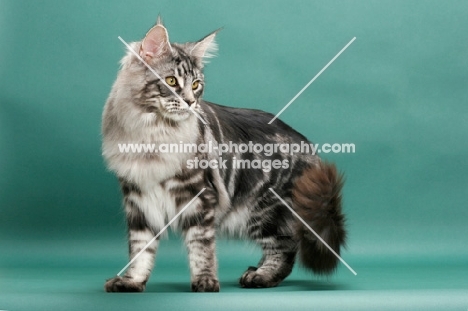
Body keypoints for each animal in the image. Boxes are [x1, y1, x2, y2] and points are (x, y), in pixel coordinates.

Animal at [102, 18, 346, 294]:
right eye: (171, 82)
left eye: (196, 85)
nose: (190, 102)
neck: (152, 133)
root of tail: (309, 147)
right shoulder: (139, 200)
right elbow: (140, 249)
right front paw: (132, 281)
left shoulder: (200, 196)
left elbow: (201, 246)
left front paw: (205, 281)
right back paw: (255, 270)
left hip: (263, 210)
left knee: (285, 246)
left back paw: (262, 276)